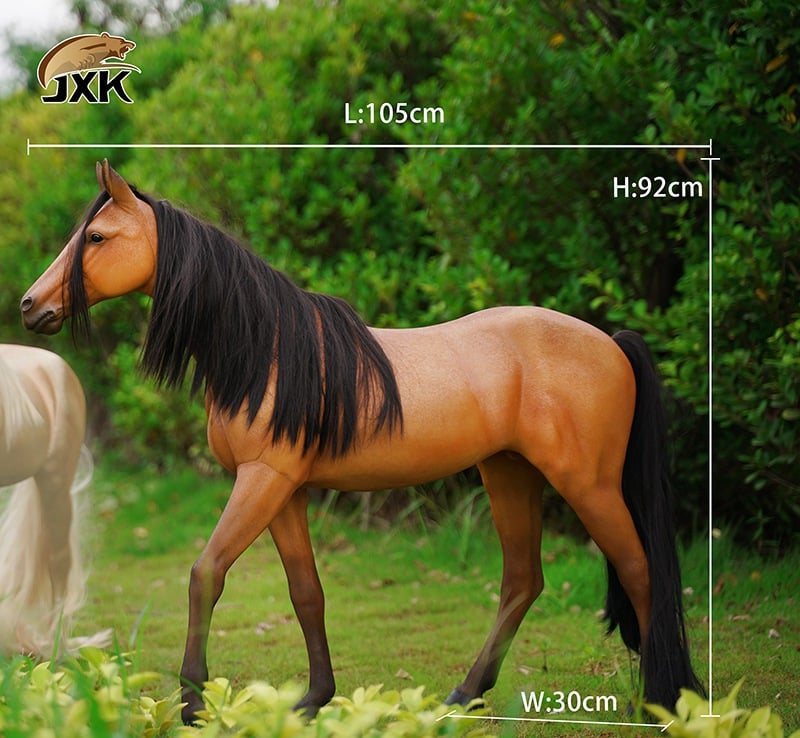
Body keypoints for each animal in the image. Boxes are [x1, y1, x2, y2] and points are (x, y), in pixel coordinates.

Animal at [21, 160, 702, 722]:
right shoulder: (285, 489)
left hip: (587, 482)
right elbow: (306, 593)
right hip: (509, 471)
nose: (31, 306)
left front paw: (192, 704)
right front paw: (313, 699)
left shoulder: (264, 479)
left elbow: (205, 573)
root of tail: (609, 342)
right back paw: (466, 694)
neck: (269, 350)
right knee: (522, 582)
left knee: (640, 571)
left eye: (97, 238)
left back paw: (660, 701)